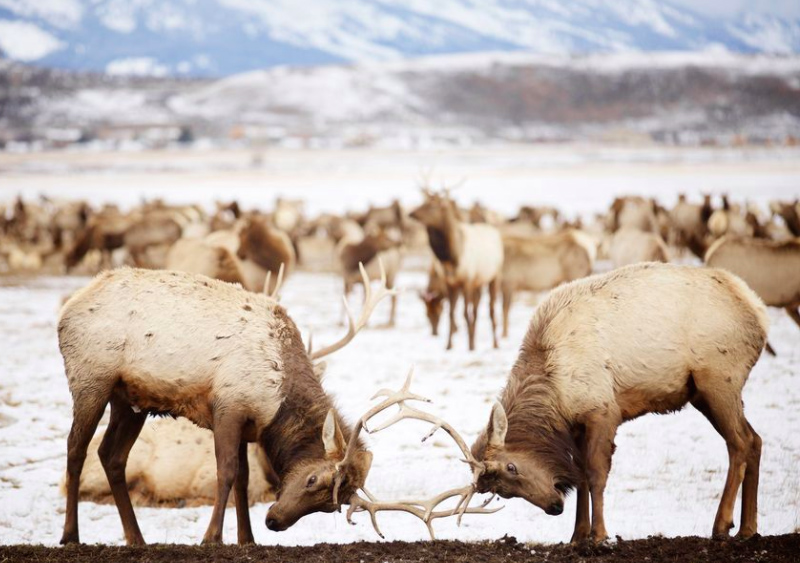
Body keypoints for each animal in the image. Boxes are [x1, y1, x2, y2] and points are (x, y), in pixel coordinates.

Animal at [54, 264, 390, 548]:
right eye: (312, 479)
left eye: (331, 506)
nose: (274, 521)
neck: (275, 402)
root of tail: (67, 310)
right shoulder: (229, 406)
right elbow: (226, 472)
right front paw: (211, 537)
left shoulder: (248, 426)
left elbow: (242, 479)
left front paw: (247, 539)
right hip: (91, 380)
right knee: (75, 448)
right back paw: (70, 535)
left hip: (129, 399)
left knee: (111, 455)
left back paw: (136, 538)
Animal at [466, 262, 772, 544]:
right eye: (503, 492)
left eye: (511, 467)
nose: (554, 507)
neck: (555, 392)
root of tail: (758, 310)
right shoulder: (577, 425)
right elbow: (581, 477)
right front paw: (577, 536)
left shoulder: (603, 410)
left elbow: (595, 474)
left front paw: (599, 535)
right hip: (703, 392)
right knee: (755, 439)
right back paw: (748, 528)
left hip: (718, 379)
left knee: (740, 442)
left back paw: (722, 525)